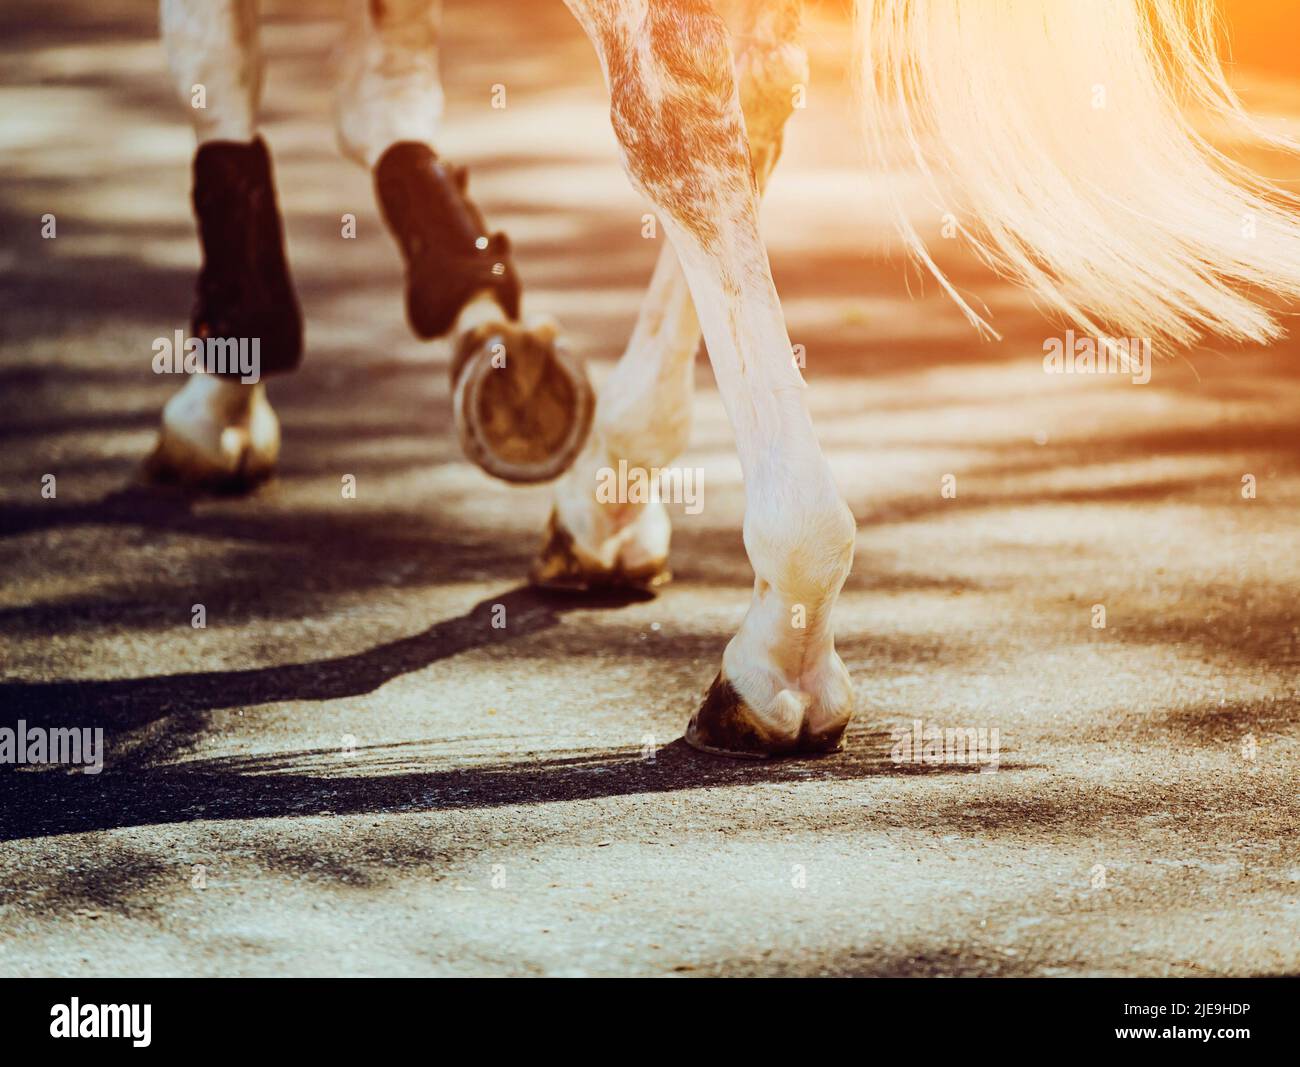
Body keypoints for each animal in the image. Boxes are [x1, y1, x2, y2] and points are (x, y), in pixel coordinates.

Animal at [147, 4, 1300, 764]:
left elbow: (220, 55)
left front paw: (226, 389)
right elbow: (381, 76)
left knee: (676, 111)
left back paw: (780, 637)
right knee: (753, 94)